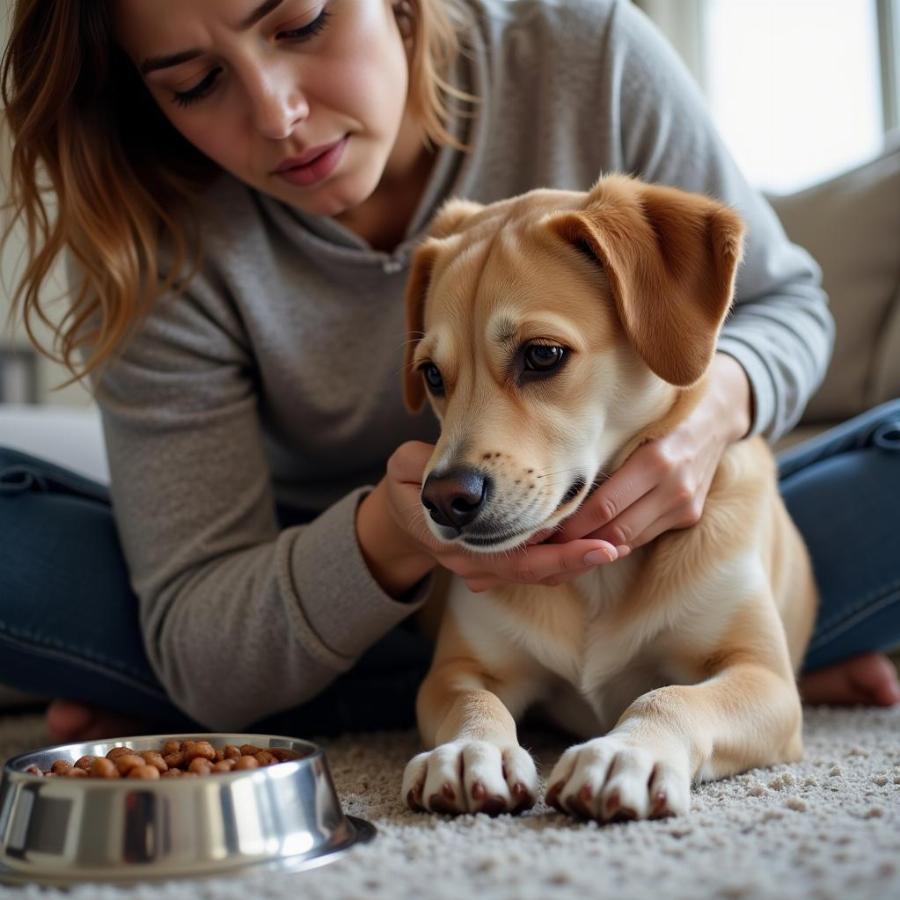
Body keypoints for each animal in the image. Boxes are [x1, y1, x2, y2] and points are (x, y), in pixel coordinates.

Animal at [398, 176, 820, 824]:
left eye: (542, 355)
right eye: (433, 376)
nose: (444, 500)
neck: (598, 580)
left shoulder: (763, 678)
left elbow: (669, 696)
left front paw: (625, 754)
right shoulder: (461, 669)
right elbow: (472, 703)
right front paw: (471, 750)